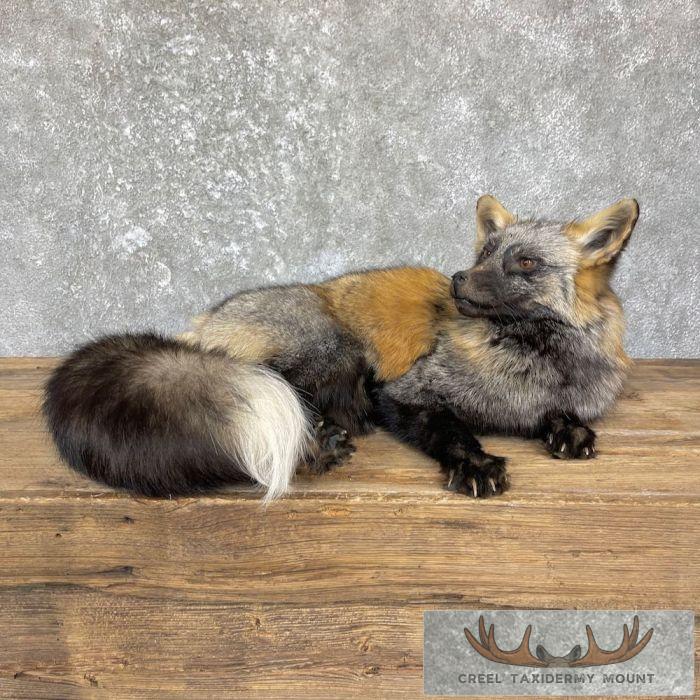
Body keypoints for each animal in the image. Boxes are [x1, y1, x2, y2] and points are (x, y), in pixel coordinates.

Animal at [43, 195, 639, 500]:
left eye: (525, 262)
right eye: (484, 254)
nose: (457, 280)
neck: (530, 371)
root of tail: (200, 325)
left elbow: (563, 418)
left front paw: (568, 431)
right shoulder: (401, 392)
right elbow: (451, 430)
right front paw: (474, 463)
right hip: (332, 353)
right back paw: (318, 446)